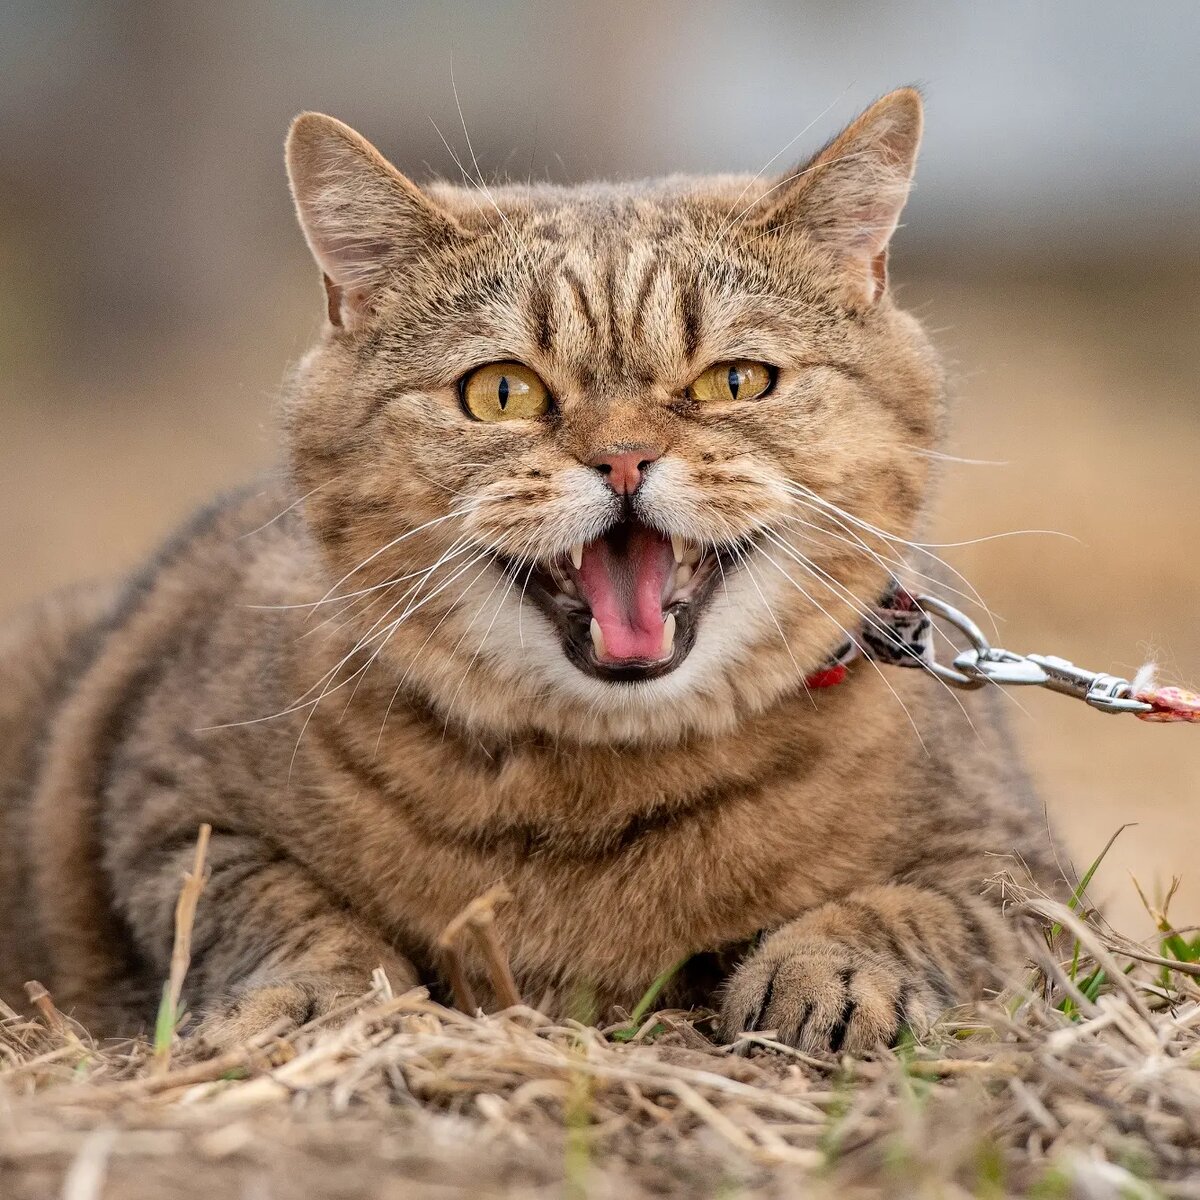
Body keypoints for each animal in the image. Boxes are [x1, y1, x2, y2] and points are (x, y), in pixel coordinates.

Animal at [0, 91, 1056, 1051]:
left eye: (735, 381)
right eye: (501, 392)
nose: (625, 459)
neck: (599, 783)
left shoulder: (1021, 871)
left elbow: (924, 910)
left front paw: (832, 969)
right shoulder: (169, 815)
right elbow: (282, 918)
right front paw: (315, 1001)